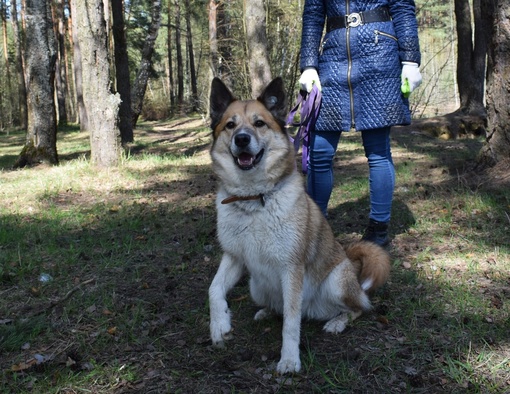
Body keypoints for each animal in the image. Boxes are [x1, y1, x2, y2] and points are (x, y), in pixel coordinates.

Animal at [207, 77, 390, 376]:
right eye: (230, 125)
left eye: (259, 123)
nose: (242, 139)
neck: (254, 200)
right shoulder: (234, 257)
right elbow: (214, 290)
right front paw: (219, 326)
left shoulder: (291, 269)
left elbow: (291, 324)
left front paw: (290, 360)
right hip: (256, 286)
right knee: (280, 307)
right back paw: (266, 312)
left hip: (337, 283)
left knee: (359, 308)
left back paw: (337, 322)